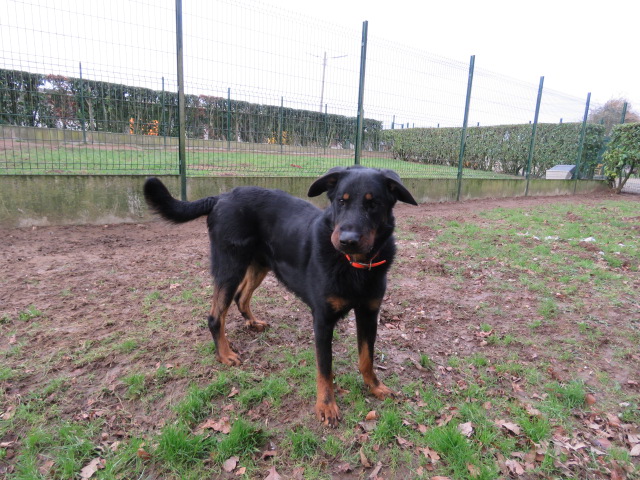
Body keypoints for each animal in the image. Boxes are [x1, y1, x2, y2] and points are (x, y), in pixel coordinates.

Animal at [142, 166, 418, 428]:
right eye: (341, 201)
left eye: (373, 204)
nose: (347, 240)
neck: (354, 265)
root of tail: (221, 196)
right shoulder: (322, 320)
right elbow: (325, 368)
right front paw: (326, 405)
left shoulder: (369, 313)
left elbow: (366, 358)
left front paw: (375, 387)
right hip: (230, 266)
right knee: (215, 315)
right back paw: (224, 354)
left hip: (259, 264)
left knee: (241, 297)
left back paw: (253, 323)